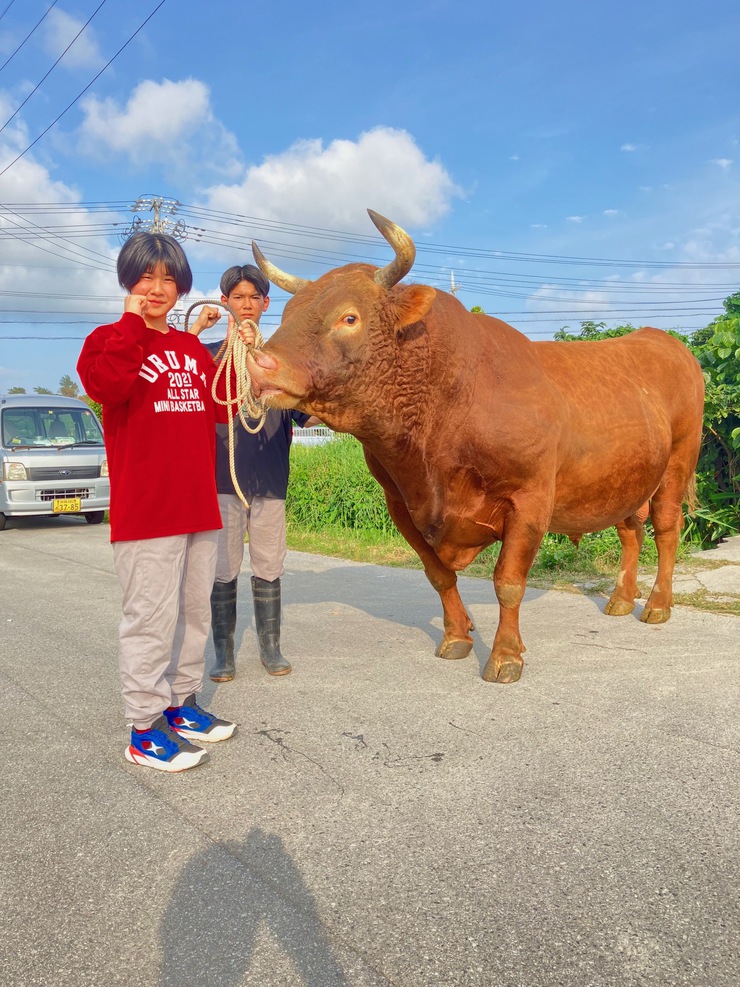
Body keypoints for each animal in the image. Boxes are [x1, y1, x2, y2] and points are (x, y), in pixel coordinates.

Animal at [246, 212, 704, 684]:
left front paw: (505, 655)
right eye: (287, 312)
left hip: (679, 461)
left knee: (666, 529)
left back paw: (656, 605)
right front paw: (456, 636)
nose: (260, 365)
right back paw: (620, 599)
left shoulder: (530, 498)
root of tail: (664, 341)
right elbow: (438, 574)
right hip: (629, 476)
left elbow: (508, 581)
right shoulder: (401, 502)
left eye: (350, 317)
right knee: (631, 528)